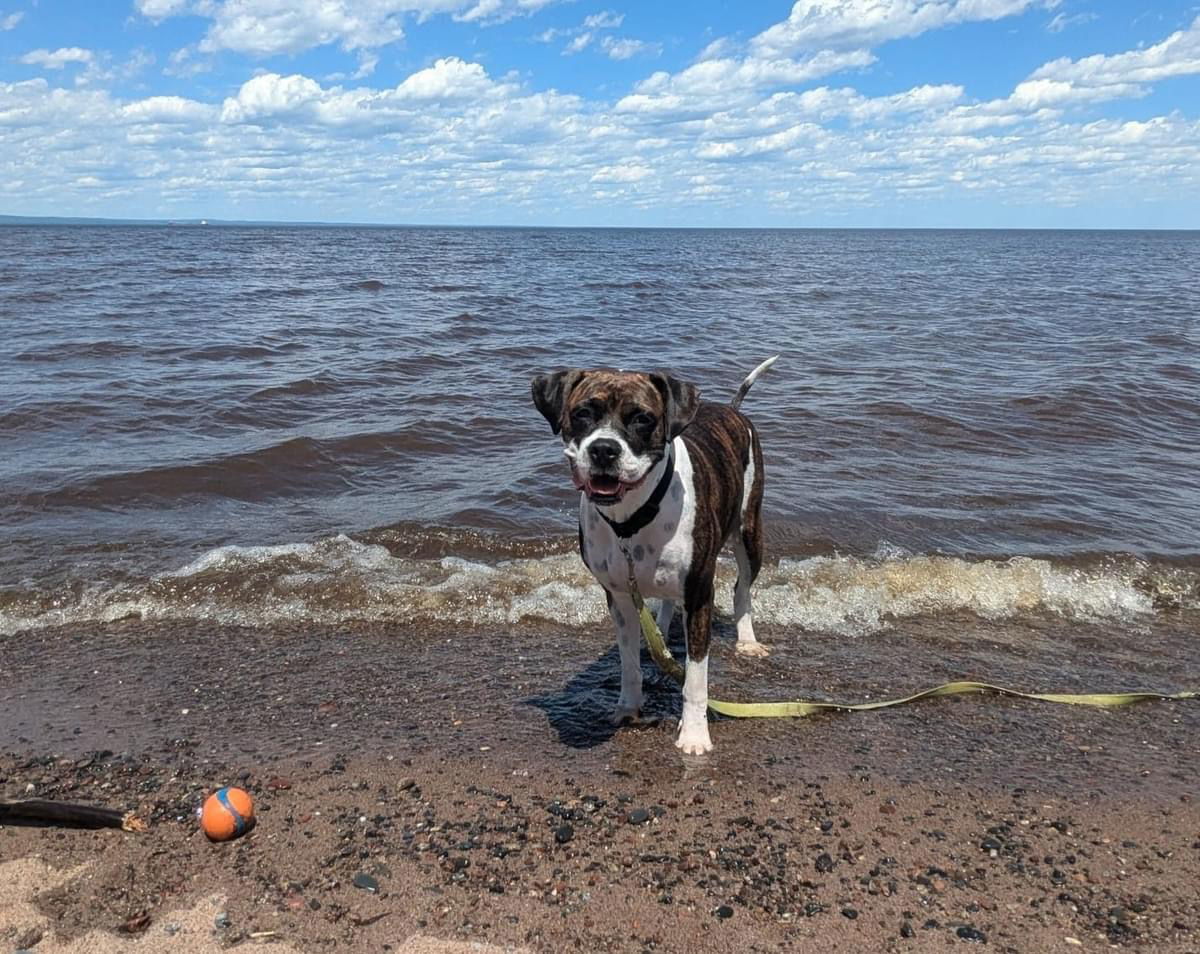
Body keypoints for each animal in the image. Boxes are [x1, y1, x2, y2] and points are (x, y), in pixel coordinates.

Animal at [528, 357, 777, 753]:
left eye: (642, 418)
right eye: (583, 413)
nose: (604, 449)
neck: (631, 519)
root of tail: (731, 409)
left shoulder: (700, 595)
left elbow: (695, 678)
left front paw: (694, 735)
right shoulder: (617, 596)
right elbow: (629, 663)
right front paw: (628, 708)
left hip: (749, 531)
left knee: (741, 587)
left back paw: (747, 640)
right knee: (666, 601)